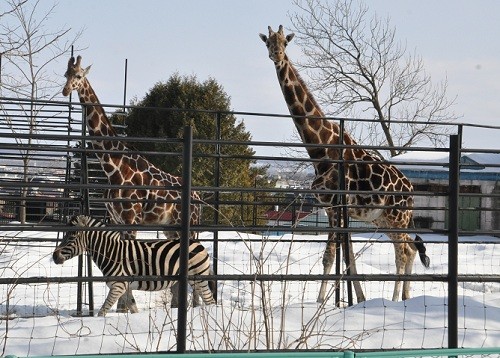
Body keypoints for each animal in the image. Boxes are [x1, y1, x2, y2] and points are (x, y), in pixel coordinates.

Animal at [52, 215, 215, 316]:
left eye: (71, 237)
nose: (54, 256)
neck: (111, 252)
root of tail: (199, 244)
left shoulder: (118, 286)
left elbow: (103, 311)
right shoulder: (125, 287)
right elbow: (133, 308)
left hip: (198, 278)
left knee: (210, 300)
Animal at [62, 56, 203, 310]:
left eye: (78, 76)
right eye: (65, 74)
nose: (66, 90)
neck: (113, 166)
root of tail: (199, 198)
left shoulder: (131, 219)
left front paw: (129, 307)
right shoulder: (117, 220)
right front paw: (124, 306)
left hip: (191, 225)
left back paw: (195, 306)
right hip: (170, 228)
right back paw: (178, 304)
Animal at [258, 26, 430, 304]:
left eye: (285, 42)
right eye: (268, 43)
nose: (277, 55)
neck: (320, 150)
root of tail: (411, 190)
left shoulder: (337, 207)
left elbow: (331, 255)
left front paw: (320, 303)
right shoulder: (333, 209)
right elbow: (345, 255)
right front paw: (357, 299)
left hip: (397, 216)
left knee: (404, 250)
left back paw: (395, 300)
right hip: (383, 220)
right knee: (410, 248)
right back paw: (404, 298)